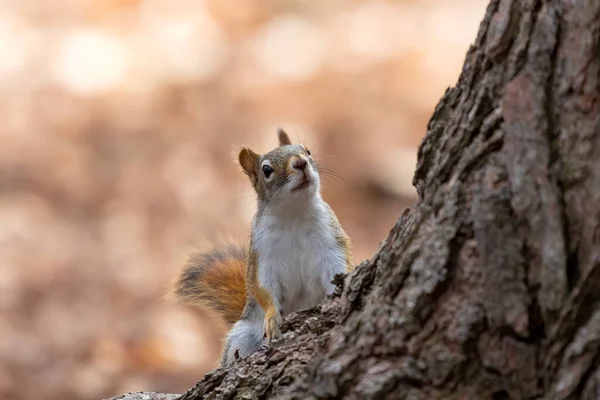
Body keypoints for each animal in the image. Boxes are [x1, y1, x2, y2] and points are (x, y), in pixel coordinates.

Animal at [169, 130, 354, 368]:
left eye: (307, 150)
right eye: (267, 170)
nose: (300, 162)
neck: (293, 212)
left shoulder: (331, 242)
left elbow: (337, 269)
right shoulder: (261, 255)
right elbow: (262, 286)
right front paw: (272, 316)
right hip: (243, 333)